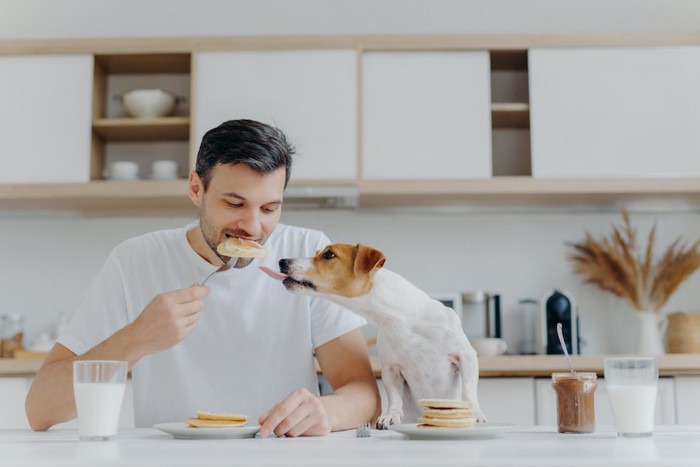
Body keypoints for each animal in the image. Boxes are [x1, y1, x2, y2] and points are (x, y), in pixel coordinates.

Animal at [260, 243, 484, 430]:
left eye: (329, 254)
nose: (282, 261)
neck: (401, 320)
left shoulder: (466, 356)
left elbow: (469, 390)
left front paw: (475, 413)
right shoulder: (391, 369)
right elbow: (394, 396)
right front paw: (390, 416)